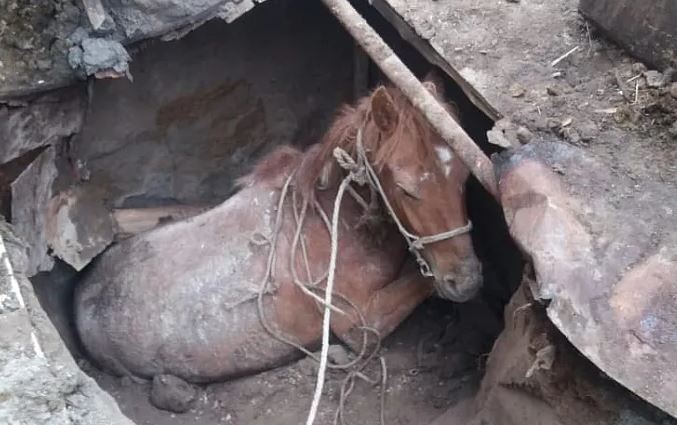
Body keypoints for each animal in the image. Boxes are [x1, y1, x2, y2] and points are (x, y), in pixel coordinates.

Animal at [74, 76, 482, 383]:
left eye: (464, 177)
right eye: (406, 188)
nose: (466, 280)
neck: (332, 225)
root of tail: (82, 295)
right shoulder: (361, 321)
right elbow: (421, 282)